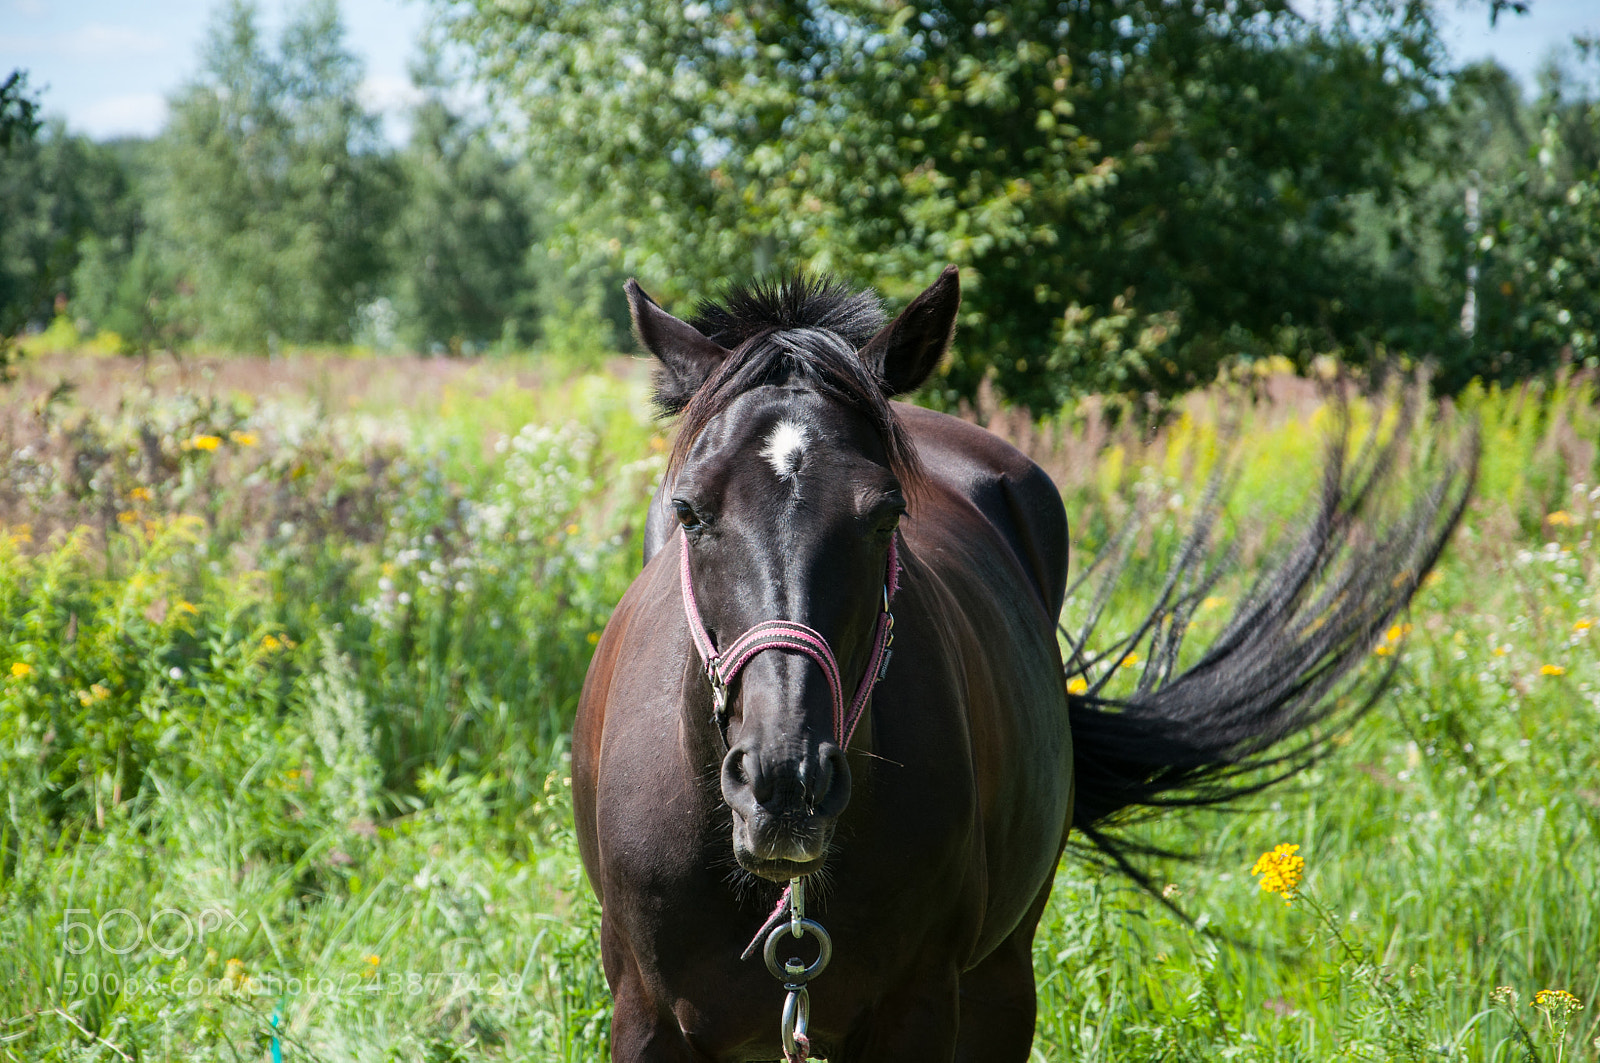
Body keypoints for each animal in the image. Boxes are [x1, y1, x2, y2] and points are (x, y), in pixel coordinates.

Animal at [573, 268, 1474, 1061]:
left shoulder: (921, 1010)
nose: (784, 781)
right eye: (691, 511)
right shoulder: (645, 1019)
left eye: (886, 514)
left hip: (1004, 980)